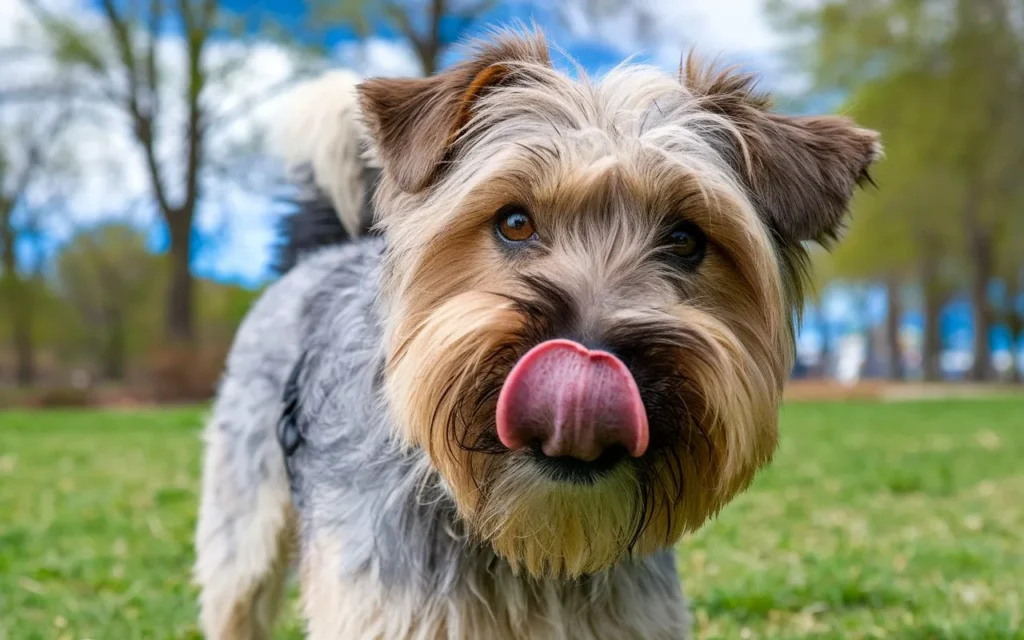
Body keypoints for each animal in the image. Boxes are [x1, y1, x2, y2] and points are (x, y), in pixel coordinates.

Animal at [192, 28, 880, 638]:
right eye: (515, 222)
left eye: (686, 239)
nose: (587, 355)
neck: (532, 537)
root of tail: (323, 254)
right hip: (240, 528)